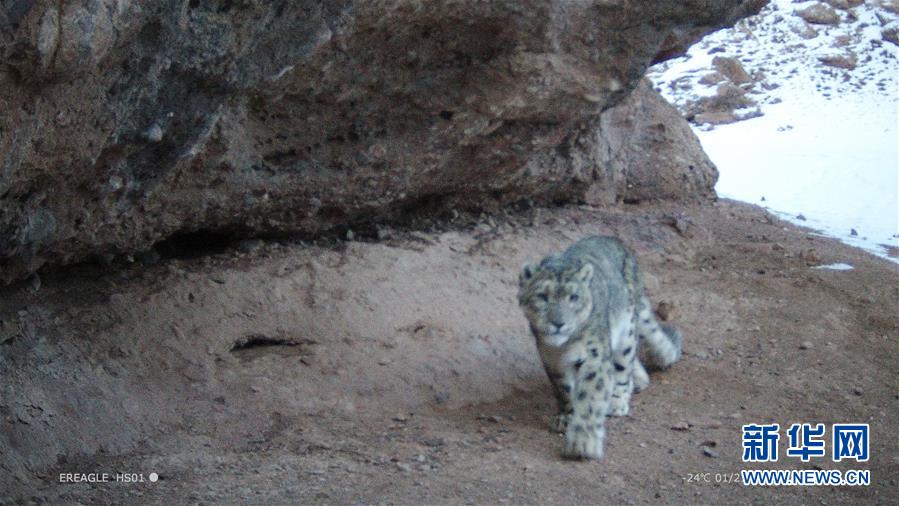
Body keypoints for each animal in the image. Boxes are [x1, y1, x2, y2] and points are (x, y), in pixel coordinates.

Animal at [520, 235, 684, 460]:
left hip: (626, 332)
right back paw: (638, 381)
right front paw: (566, 417)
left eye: (574, 297)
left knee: (624, 364)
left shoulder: (594, 356)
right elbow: (563, 389)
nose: (559, 323)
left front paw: (582, 444)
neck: (563, 348)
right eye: (542, 296)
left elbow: (590, 398)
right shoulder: (551, 359)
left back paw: (618, 400)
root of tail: (617, 242)